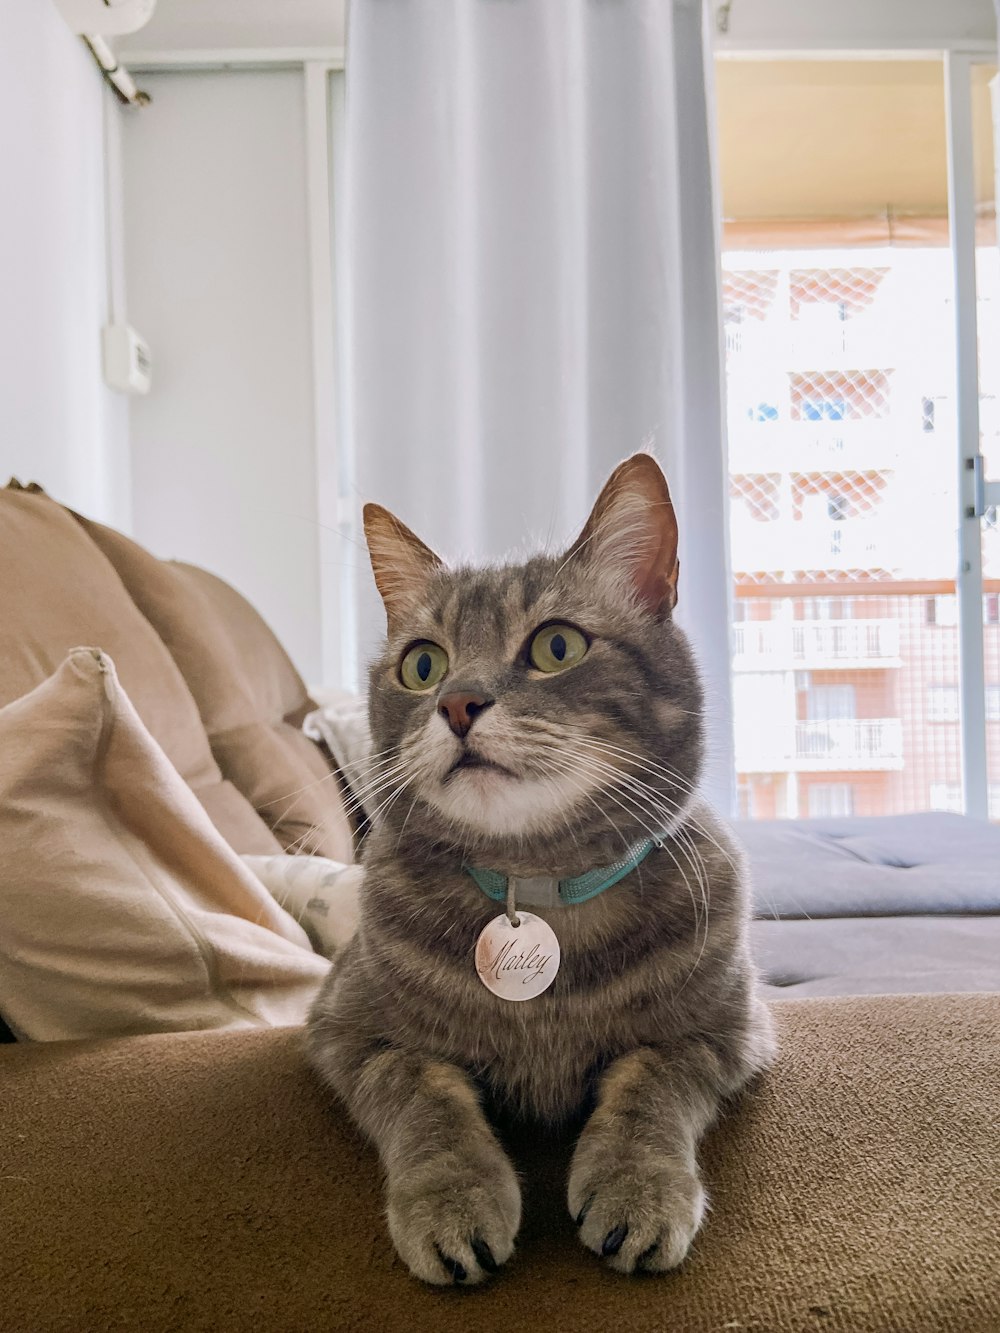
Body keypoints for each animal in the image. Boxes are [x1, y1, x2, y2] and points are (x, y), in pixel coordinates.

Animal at [309, 455, 778, 1279]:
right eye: (422, 664)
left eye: (557, 647)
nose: (458, 702)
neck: (533, 883)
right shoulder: (345, 1028)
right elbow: (424, 1090)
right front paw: (453, 1198)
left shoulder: (730, 1029)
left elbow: (652, 1076)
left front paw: (637, 1184)